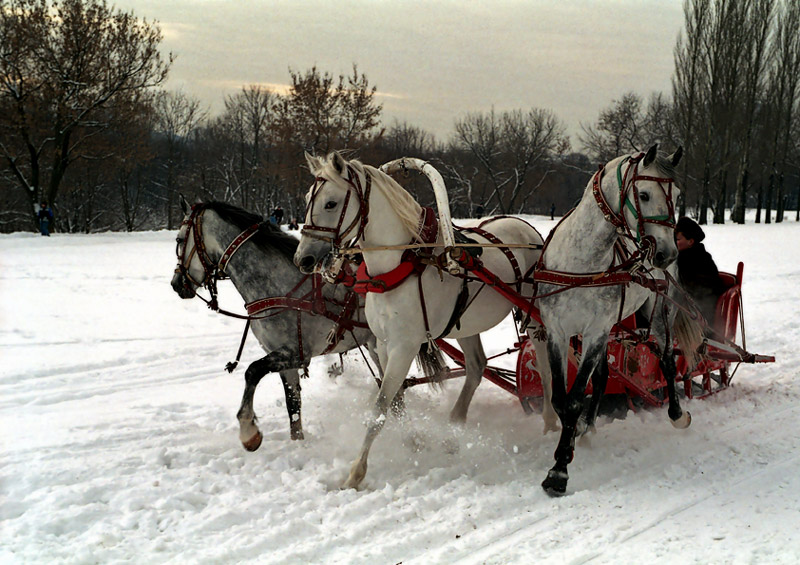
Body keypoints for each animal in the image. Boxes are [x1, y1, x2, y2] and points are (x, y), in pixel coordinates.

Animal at [536, 144, 692, 494]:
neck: (582, 264)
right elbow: (561, 398)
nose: (667, 253)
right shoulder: (558, 331)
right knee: (604, 375)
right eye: (644, 194)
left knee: (666, 361)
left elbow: (574, 399)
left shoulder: (595, 330)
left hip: (658, 314)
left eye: (677, 195)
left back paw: (677, 414)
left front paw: (559, 470)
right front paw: (569, 442)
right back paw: (588, 426)